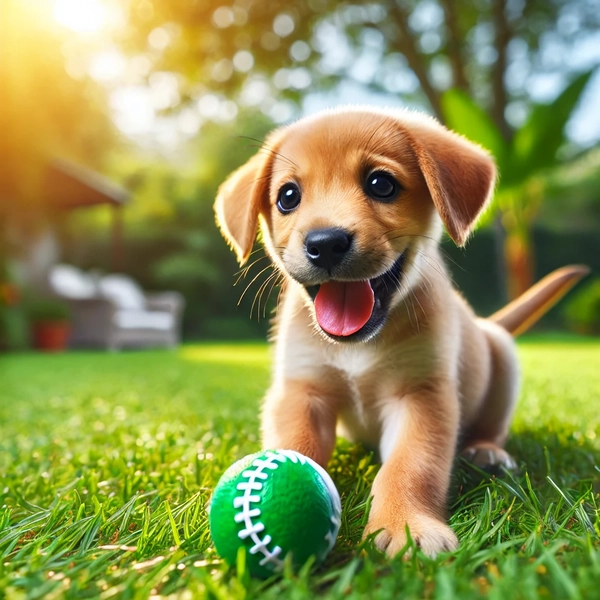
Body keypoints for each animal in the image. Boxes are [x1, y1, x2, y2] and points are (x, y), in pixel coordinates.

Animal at [214, 106, 584, 556]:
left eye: (381, 184)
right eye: (288, 196)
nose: (326, 243)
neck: (357, 346)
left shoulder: (421, 396)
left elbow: (411, 465)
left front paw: (405, 525)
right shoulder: (302, 391)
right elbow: (294, 445)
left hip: (503, 358)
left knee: (492, 427)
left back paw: (488, 452)